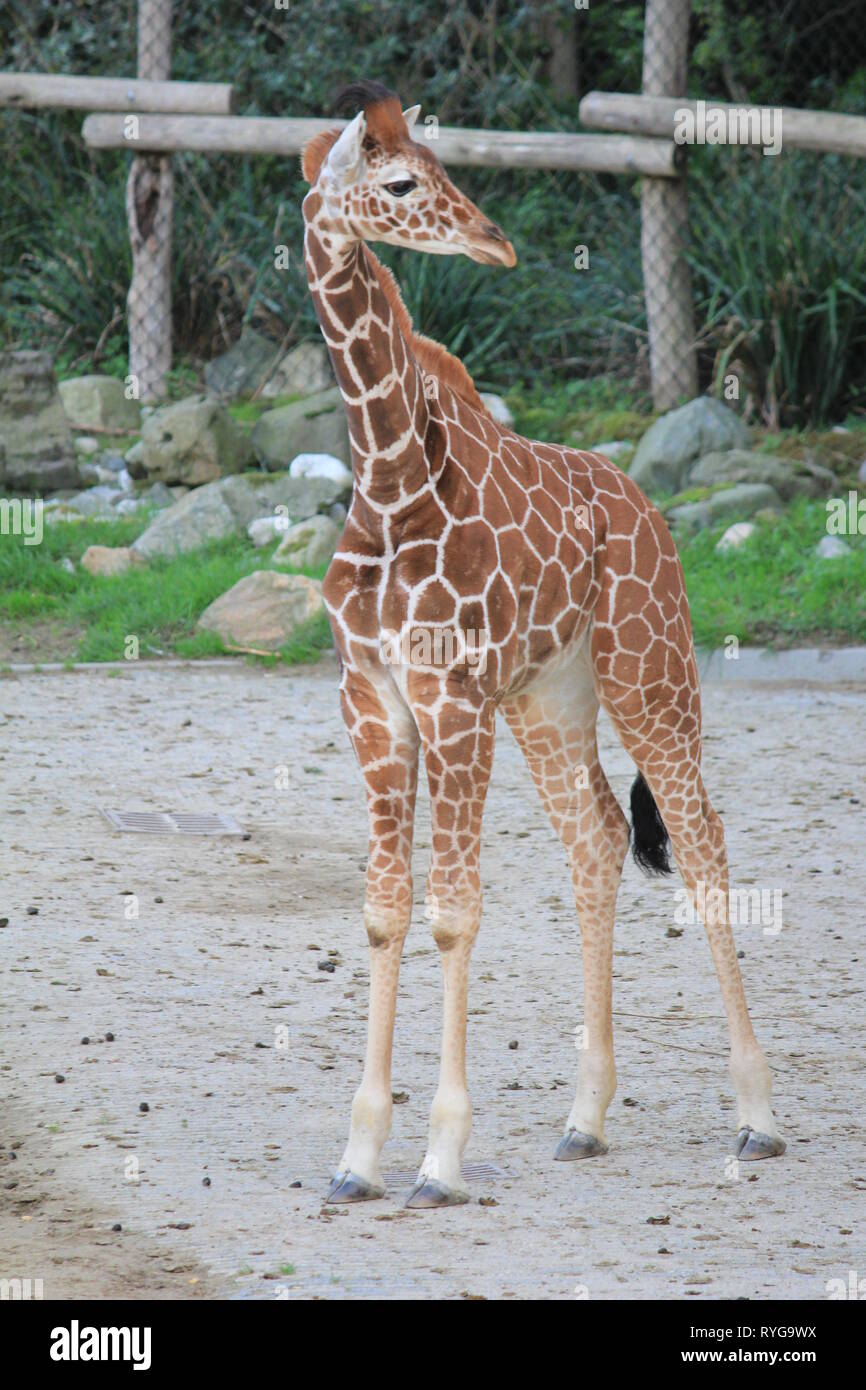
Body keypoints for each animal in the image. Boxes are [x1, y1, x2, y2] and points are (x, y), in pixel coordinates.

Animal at [300, 81, 783, 1206]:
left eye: (440, 166)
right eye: (401, 182)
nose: (495, 242)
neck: (387, 480)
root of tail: (648, 508)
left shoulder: (451, 697)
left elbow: (452, 914)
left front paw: (437, 1159)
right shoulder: (372, 700)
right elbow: (384, 911)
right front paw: (356, 1159)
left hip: (647, 671)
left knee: (700, 838)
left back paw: (756, 1118)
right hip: (550, 697)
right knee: (597, 837)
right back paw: (584, 1119)